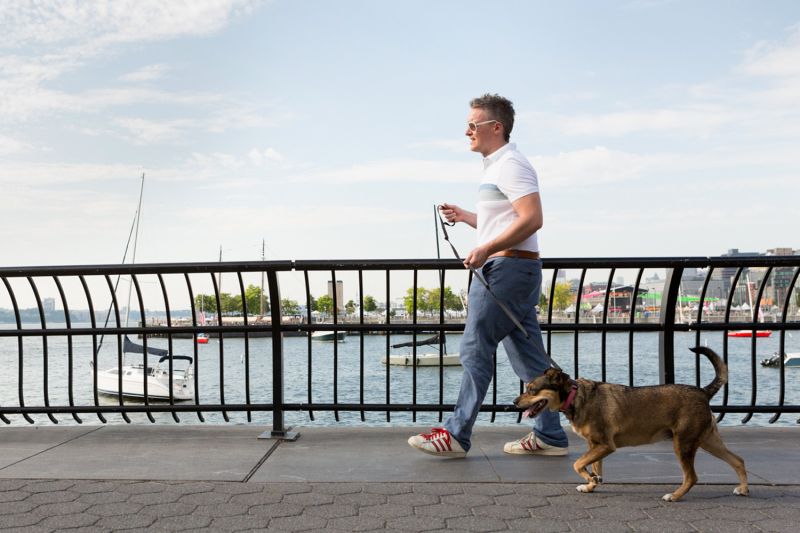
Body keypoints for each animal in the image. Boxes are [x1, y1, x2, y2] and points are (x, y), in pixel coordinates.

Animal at [512, 344, 752, 498]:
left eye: (531, 390)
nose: (514, 402)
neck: (575, 395)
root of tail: (703, 392)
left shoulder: (605, 445)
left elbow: (578, 463)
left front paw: (589, 478)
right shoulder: (595, 446)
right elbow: (595, 467)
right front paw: (591, 484)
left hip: (683, 443)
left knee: (692, 477)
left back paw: (675, 496)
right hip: (707, 440)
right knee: (738, 460)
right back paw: (743, 489)